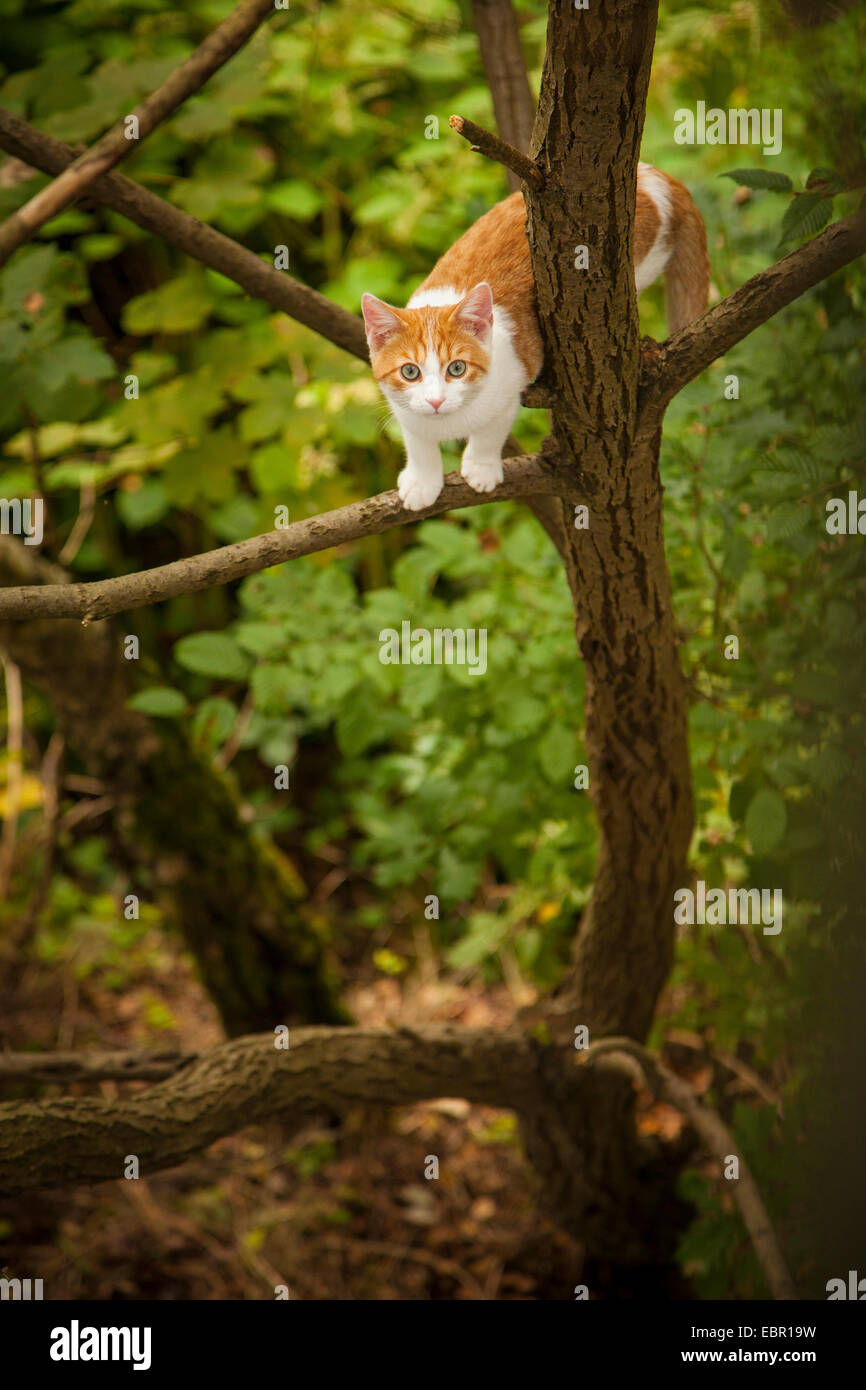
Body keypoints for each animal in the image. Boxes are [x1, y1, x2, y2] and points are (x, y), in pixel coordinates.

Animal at [361, 162, 708, 511]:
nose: (435, 400)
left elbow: (491, 432)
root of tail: (649, 174)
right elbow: (417, 441)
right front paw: (423, 480)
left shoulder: (510, 386)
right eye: (410, 372)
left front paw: (481, 467)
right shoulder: (404, 410)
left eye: (457, 368)